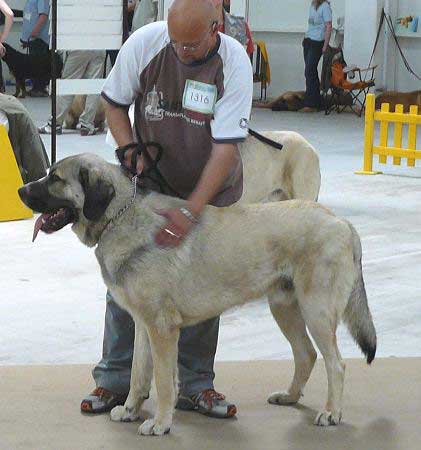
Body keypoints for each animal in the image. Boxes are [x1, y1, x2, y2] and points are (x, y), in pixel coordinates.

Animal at [18, 155, 374, 436]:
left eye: (55, 179)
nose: (21, 190)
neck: (120, 218)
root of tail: (342, 222)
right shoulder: (144, 326)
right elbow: (138, 374)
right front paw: (131, 410)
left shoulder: (162, 329)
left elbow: (162, 380)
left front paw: (160, 424)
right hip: (285, 308)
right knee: (306, 355)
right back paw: (289, 396)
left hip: (316, 312)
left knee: (336, 364)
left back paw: (331, 412)